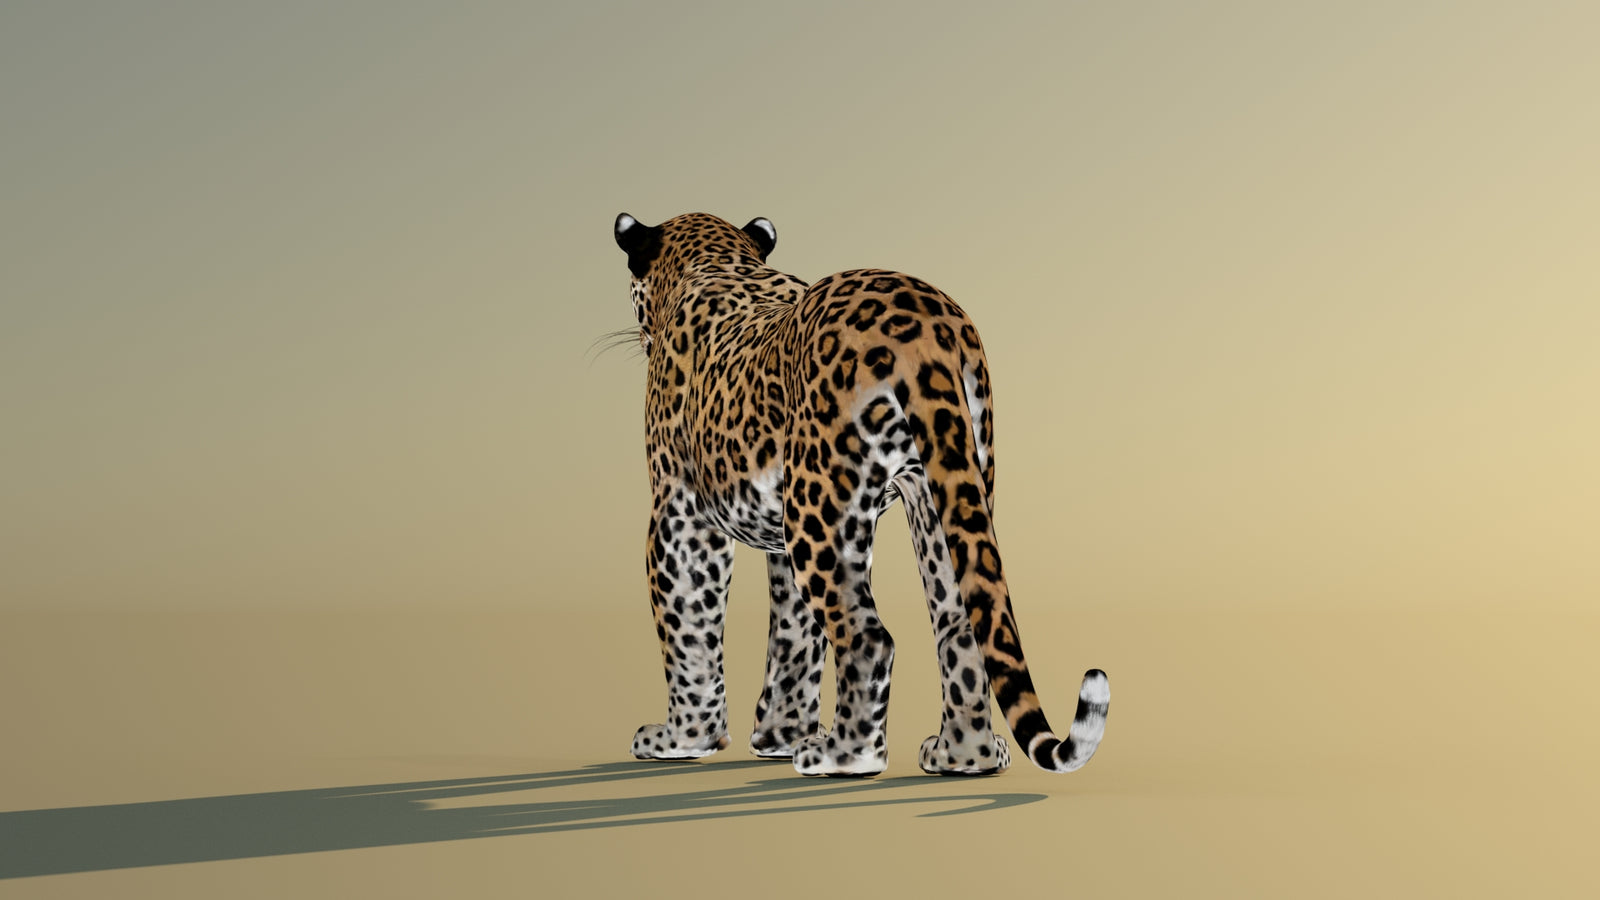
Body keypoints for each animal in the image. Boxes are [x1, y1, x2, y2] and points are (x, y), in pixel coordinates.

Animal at [612, 211, 1109, 777]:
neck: (716, 259)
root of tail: (927, 323)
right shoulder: (781, 525)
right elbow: (795, 635)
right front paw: (781, 734)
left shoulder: (682, 515)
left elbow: (689, 625)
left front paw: (684, 738)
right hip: (942, 489)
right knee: (962, 622)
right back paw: (964, 755)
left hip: (823, 505)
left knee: (870, 637)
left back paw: (845, 755)